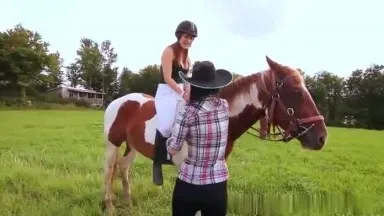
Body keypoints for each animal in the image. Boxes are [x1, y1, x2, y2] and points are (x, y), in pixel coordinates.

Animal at [101, 56, 328, 213]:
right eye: (297, 92)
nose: (321, 137)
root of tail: (118, 101)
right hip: (113, 144)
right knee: (110, 171)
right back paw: (110, 206)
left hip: (133, 146)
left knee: (123, 168)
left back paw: (128, 203)